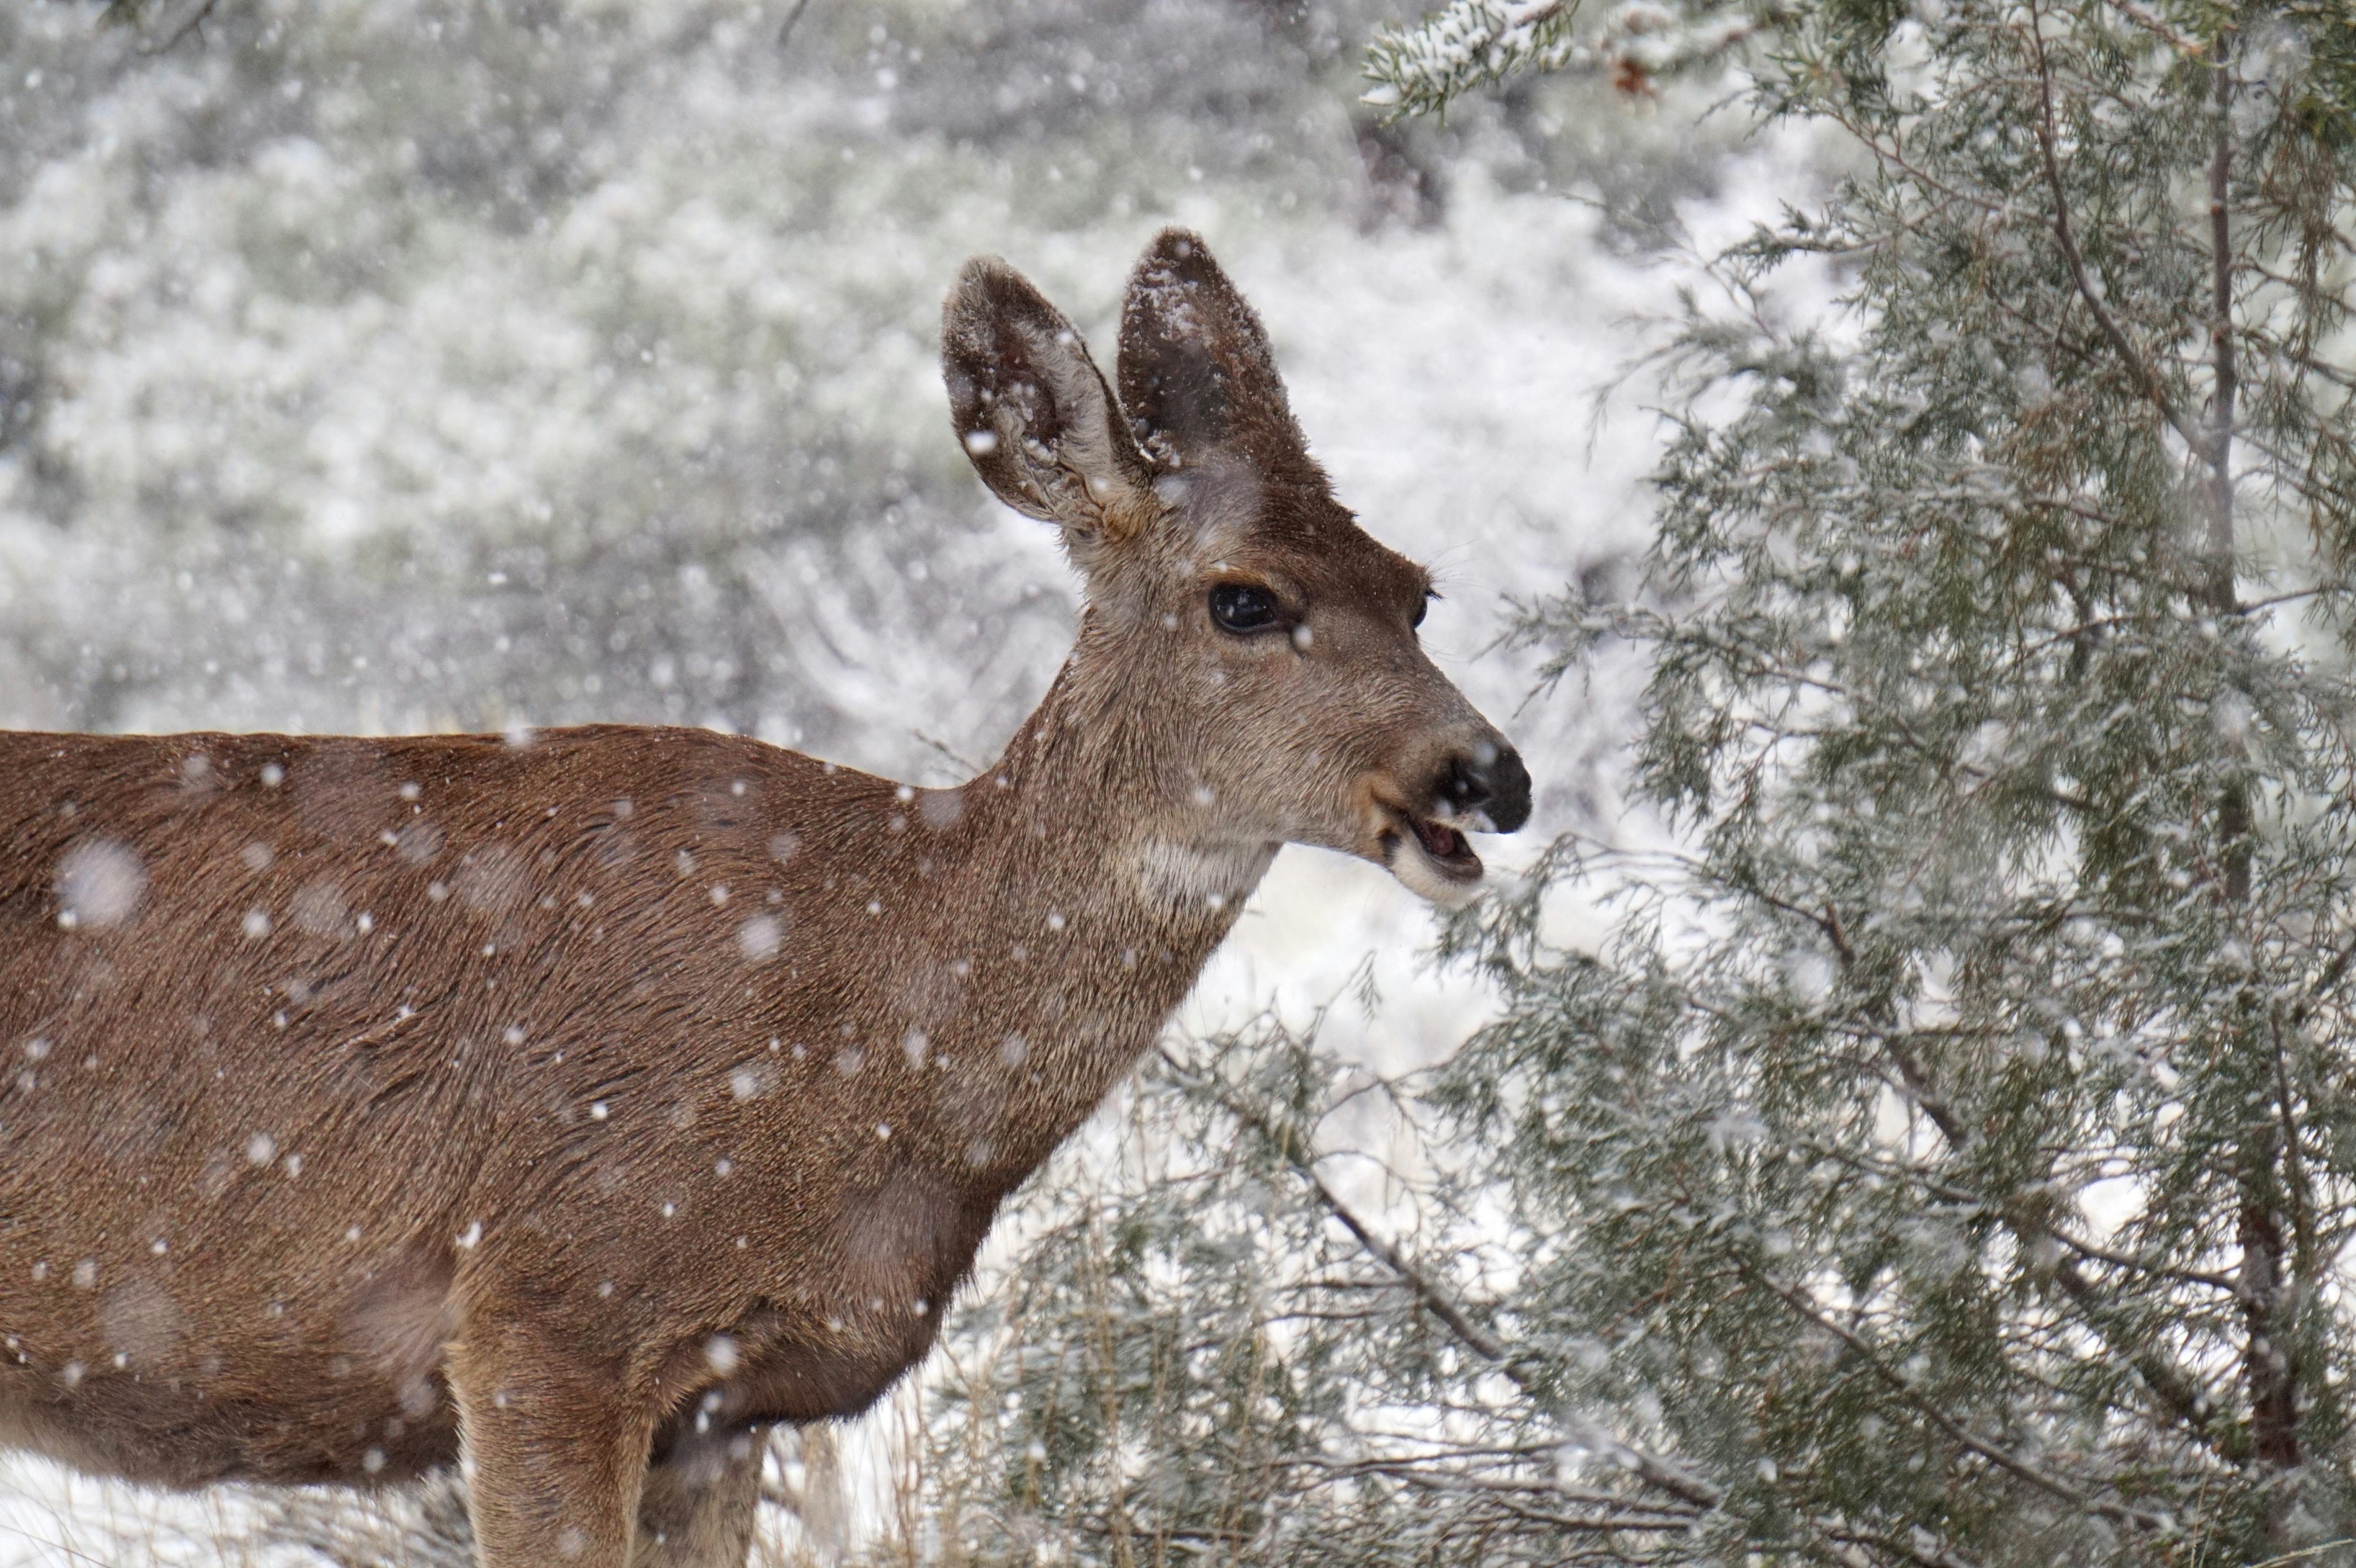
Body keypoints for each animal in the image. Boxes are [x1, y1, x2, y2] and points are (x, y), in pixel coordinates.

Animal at [0, 225, 1527, 1554]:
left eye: (1417, 590)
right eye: (1242, 598)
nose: (1487, 777)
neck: (878, 1033)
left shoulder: (729, 1399)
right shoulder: (546, 1302)